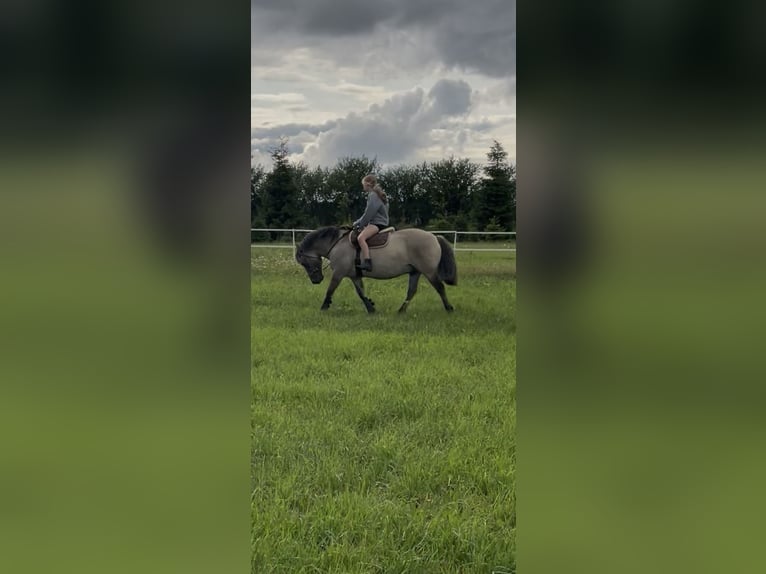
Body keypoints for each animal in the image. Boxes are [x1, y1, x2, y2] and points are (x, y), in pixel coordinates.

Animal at [295, 226, 458, 314]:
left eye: (304, 263)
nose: (316, 280)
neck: (337, 244)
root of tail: (433, 237)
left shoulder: (338, 274)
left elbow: (330, 290)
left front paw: (323, 307)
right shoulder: (355, 276)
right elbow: (361, 293)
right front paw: (370, 308)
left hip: (429, 272)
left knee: (440, 288)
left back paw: (449, 308)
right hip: (415, 272)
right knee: (411, 292)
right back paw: (400, 311)